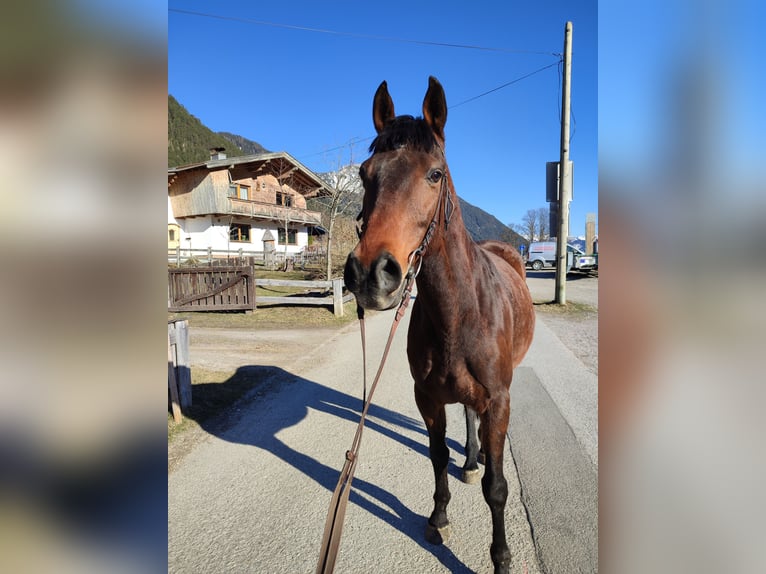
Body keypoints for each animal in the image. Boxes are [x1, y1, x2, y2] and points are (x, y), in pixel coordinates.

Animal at [344, 76, 536, 574]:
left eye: (435, 174)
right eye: (365, 174)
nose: (370, 273)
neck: (459, 313)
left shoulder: (499, 401)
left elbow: (497, 486)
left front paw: (501, 557)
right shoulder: (427, 398)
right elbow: (436, 455)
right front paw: (438, 516)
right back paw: (469, 460)